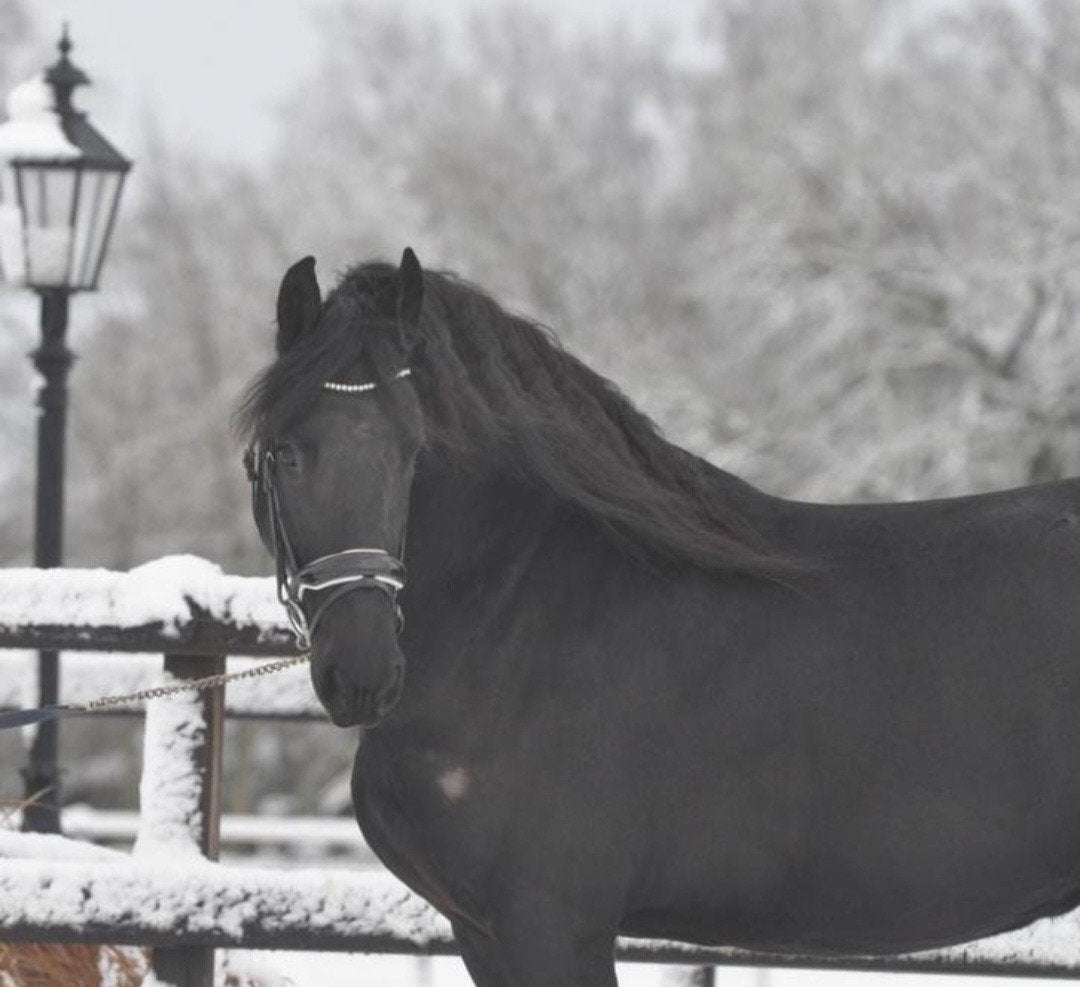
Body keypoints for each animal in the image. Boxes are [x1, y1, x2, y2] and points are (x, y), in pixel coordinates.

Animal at [236, 249, 1080, 986]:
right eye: (283, 452)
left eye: (413, 450)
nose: (363, 673)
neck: (513, 617)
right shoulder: (483, 932)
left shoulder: (551, 924)